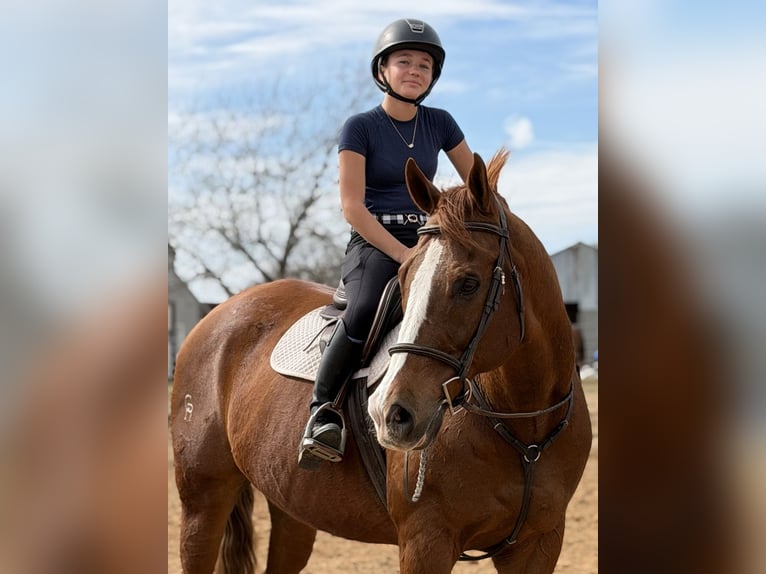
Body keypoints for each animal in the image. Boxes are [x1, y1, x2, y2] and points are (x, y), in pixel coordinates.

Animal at [170, 149, 592, 573]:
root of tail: (218, 314)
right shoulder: (426, 541)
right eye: (404, 279)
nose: (392, 414)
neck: (525, 427)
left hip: (289, 504)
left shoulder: (538, 543)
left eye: (468, 283)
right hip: (203, 502)